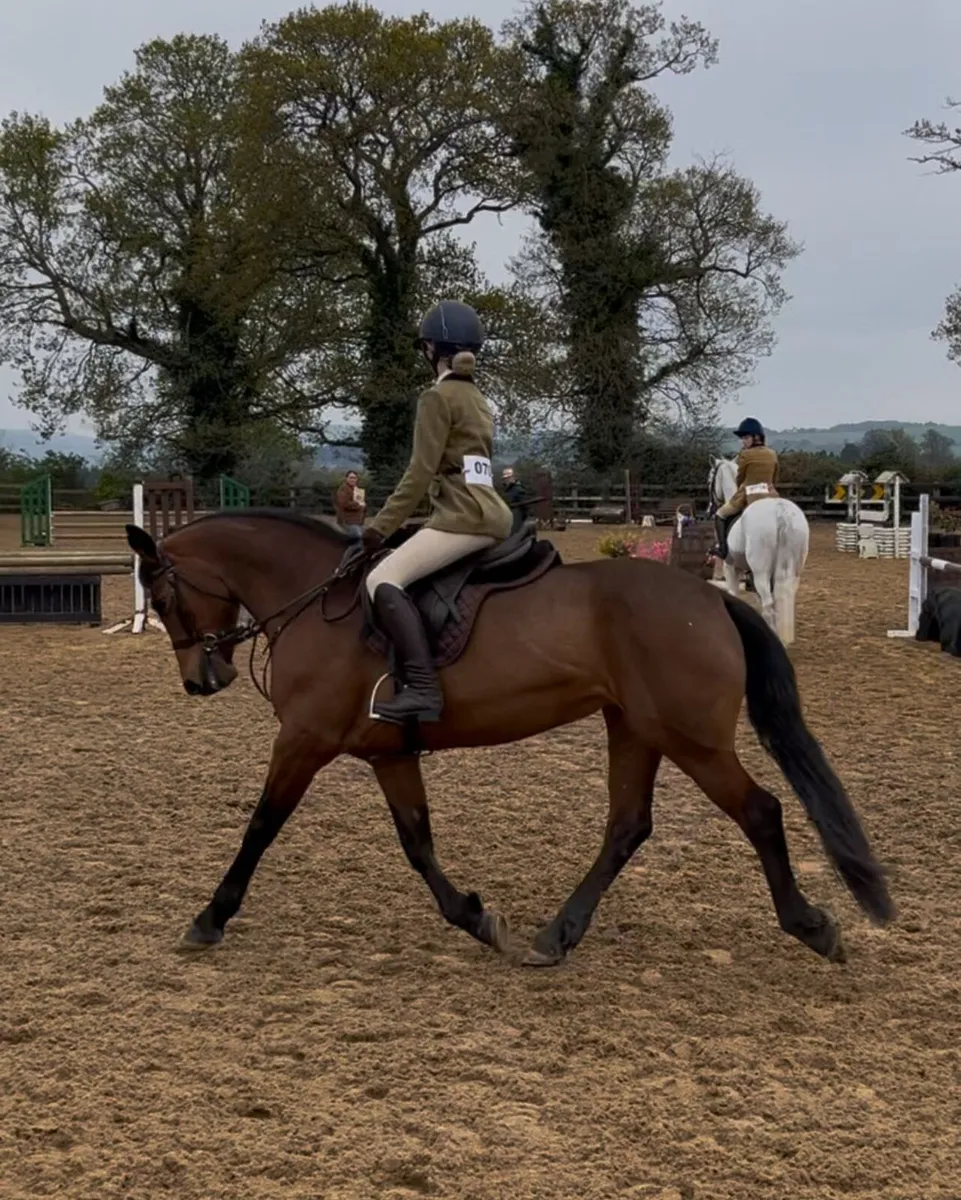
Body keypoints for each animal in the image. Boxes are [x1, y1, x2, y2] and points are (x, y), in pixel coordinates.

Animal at [125, 510, 892, 968]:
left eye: (161, 599)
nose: (201, 679)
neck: (317, 599)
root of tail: (709, 598)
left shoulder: (305, 740)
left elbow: (261, 825)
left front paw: (209, 917)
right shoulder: (386, 752)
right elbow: (417, 841)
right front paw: (472, 915)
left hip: (692, 739)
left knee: (759, 811)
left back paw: (809, 925)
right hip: (635, 728)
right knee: (627, 824)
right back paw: (556, 935)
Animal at [708, 457, 810, 645]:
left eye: (710, 477)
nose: (711, 508)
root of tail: (780, 512)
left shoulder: (730, 566)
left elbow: (734, 593)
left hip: (761, 572)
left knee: (769, 604)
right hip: (794, 571)